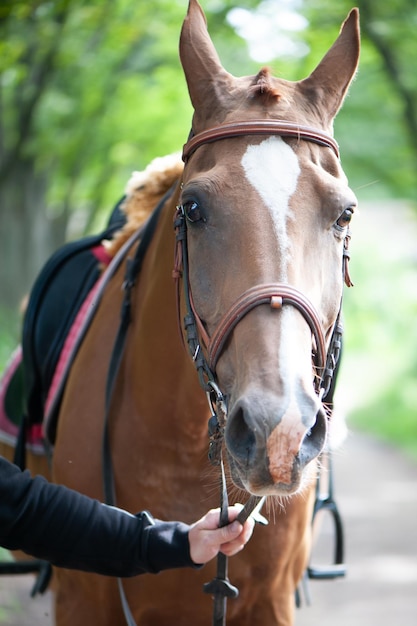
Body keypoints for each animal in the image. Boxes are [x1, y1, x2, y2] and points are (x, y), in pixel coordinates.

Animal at [1, 1, 360, 624]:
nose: (279, 431)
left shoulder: (270, 604)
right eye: (192, 208)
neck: (189, 448)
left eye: (344, 214)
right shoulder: (84, 601)